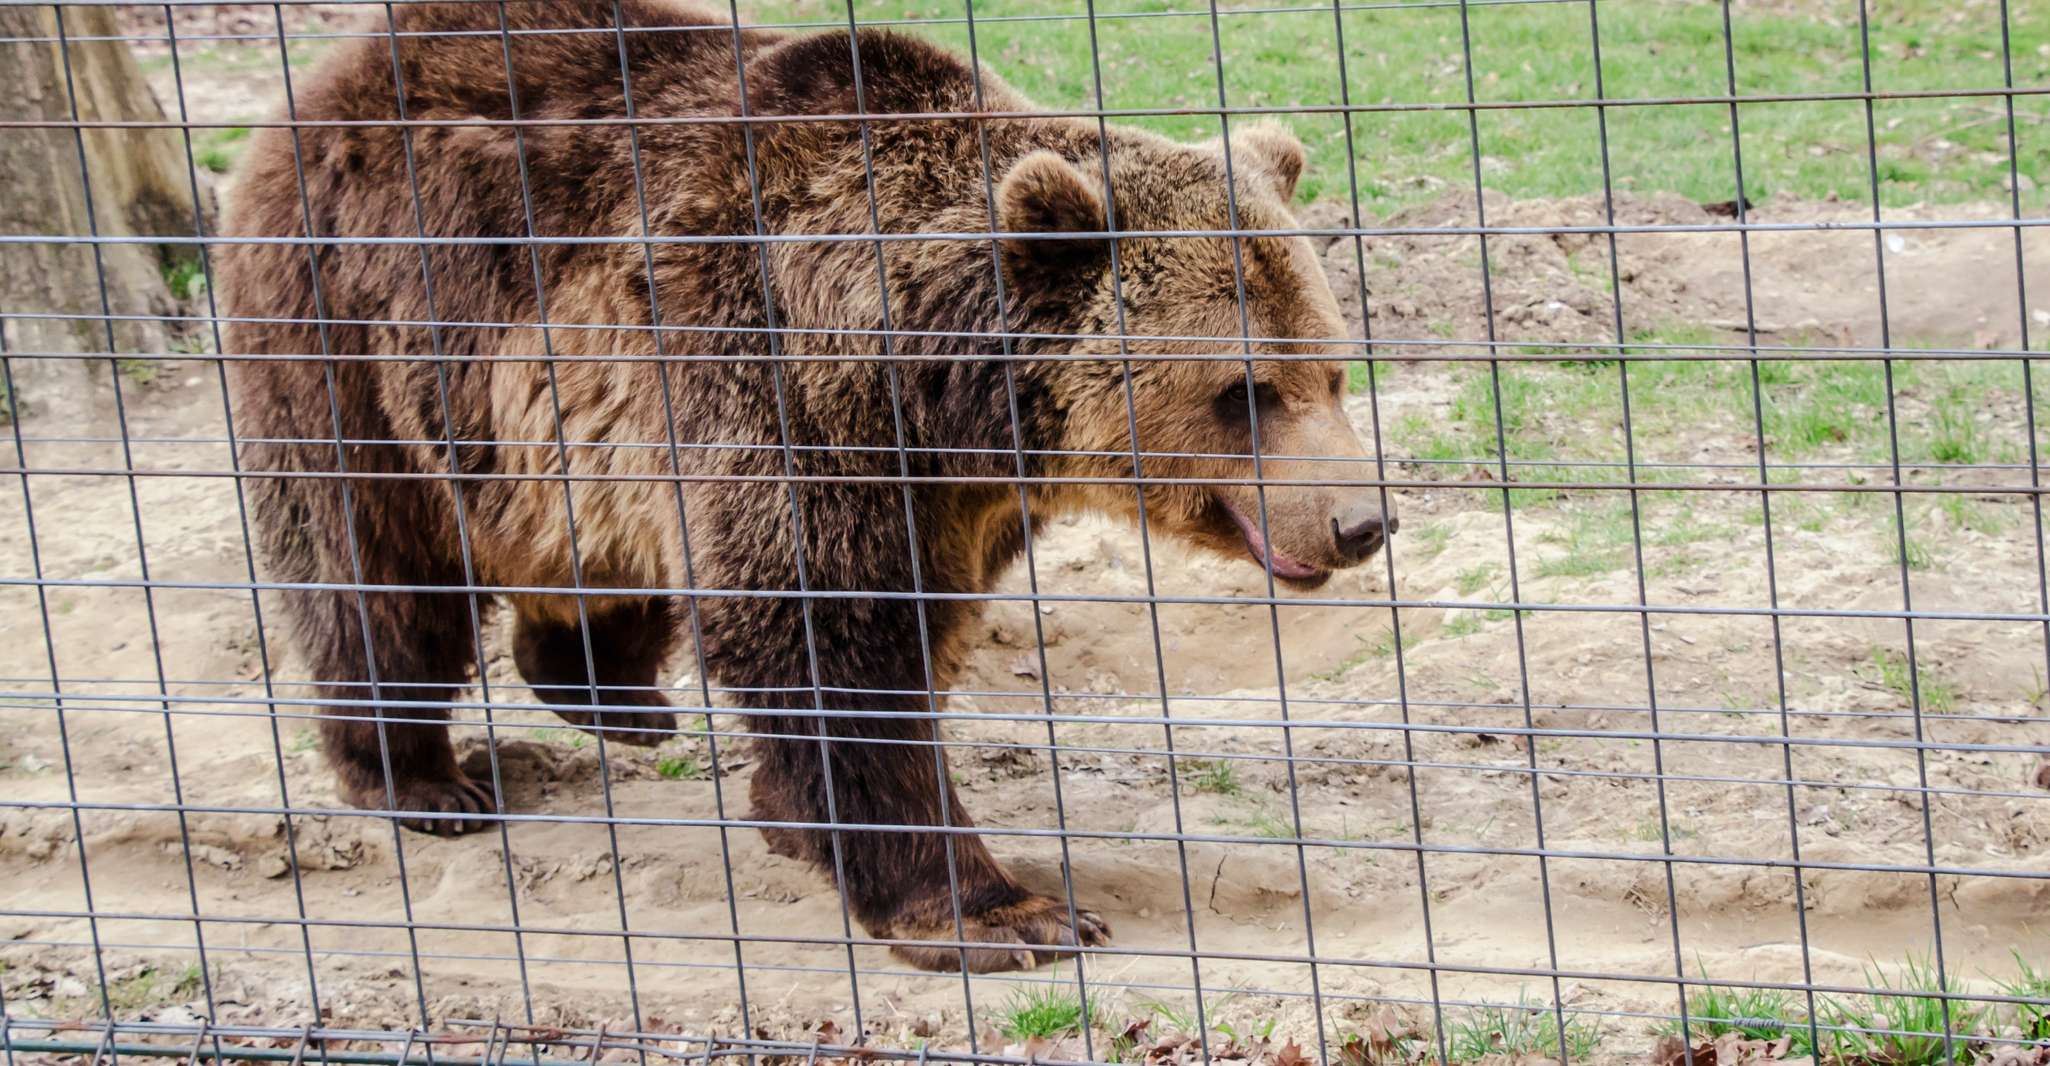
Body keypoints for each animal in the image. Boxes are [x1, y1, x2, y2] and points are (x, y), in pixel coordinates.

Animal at [220, 0, 1394, 975]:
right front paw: (1001, 913)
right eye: (1245, 392)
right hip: (354, 328)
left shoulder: (944, 495)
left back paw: (615, 697)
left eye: (1334, 372)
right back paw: (424, 777)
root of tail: (322, 80)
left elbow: (908, 628)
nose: (1359, 521)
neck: (935, 380)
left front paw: (797, 817)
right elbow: (828, 639)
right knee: (372, 565)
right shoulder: (773, 383)